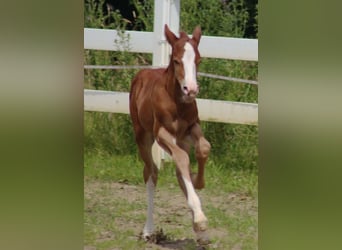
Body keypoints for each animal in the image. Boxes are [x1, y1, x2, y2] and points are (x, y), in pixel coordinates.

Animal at [129, 24, 211, 243]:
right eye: (176, 60)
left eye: (198, 60)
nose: (191, 89)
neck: (177, 103)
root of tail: (141, 74)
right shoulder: (162, 133)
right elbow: (182, 159)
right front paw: (199, 217)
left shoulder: (192, 128)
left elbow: (203, 149)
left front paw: (198, 182)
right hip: (143, 136)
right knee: (151, 172)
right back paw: (148, 230)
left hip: (180, 139)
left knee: (178, 171)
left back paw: (199, 228)